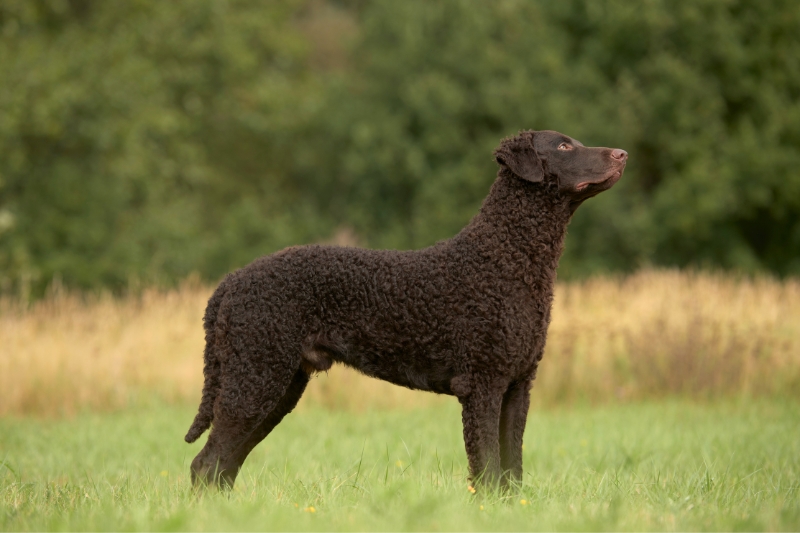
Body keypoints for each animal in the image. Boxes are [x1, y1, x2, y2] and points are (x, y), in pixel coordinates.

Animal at [186, 131, 624, 488]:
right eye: (564, 147)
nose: (622, 153)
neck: (504, 256)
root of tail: (232, 280)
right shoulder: (482, 384)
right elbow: (487, 468)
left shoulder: (518, 386)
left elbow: (511, 470)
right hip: (255, 377)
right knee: (206, 464)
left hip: (278, 386)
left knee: (224, 465)